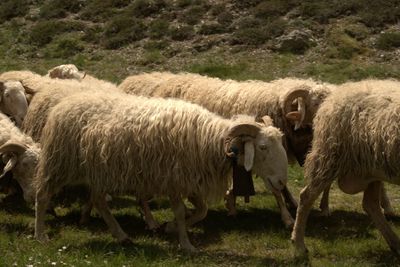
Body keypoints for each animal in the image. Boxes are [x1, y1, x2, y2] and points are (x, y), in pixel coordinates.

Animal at [33, 91, 288, 252]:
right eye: (263, 147)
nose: (282, 183)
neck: (209, 140)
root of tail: (62, 105)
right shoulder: (174, 179)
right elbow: (180, 211)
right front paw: (187, 244)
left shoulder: (190, 181)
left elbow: (201, 211)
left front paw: (169, 228)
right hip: (59, 163)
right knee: (43, 195)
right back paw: (40, 235)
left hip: (98, 171)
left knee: (99, 201)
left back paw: (122, 236)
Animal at [118, 72, 334, 227]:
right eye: (316, 103)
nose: (329, 115)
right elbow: (275, 188)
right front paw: (287, 217)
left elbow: (280, 184)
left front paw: (291, 204)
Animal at [292, 80, 400, 258]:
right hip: (330, 156)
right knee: (306, 196)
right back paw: (299, 245)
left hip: (372, 170)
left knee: (370, 204)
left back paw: (395, 244)